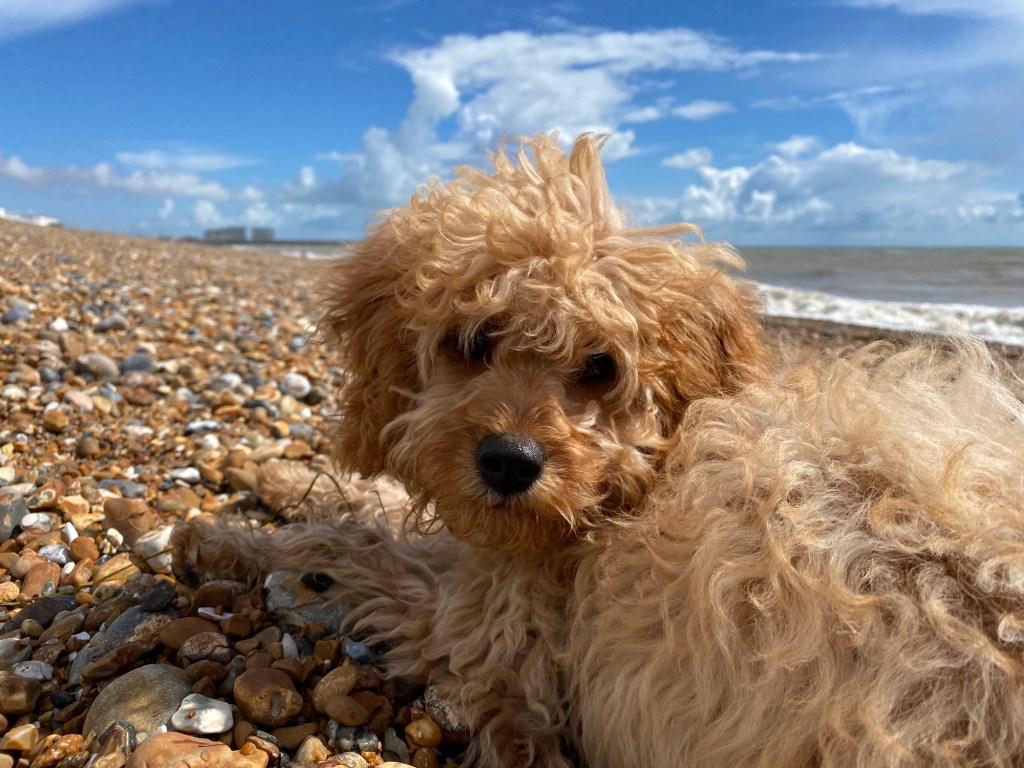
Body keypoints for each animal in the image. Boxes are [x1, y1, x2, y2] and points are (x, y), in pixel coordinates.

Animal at [176, 135, 1024, 765]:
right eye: (473, 341)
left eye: (600, 366)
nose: (510, 462)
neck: (645, 475)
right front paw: (264, 472)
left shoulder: (496, 627)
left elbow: (353, 537)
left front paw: (224, 537)